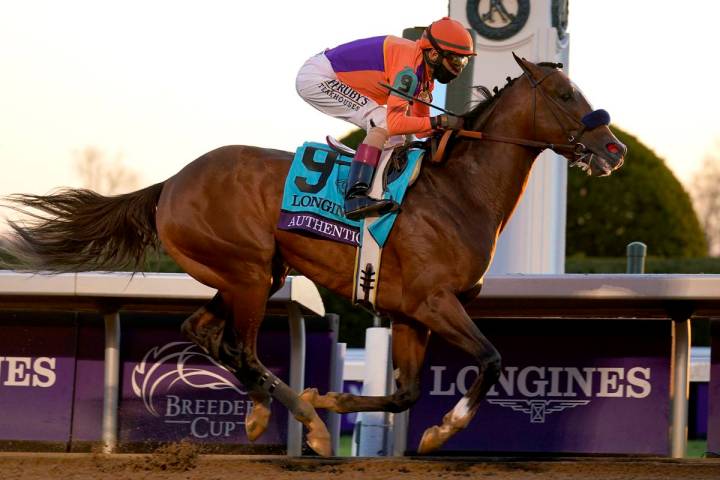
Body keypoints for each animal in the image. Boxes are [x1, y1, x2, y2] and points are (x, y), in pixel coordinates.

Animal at [2, 56, 624, 454]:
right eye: (565, 95)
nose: (614, 149)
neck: (460, 189)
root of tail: (171, 183)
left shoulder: (410, 313)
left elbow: (405, 393)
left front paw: (338, 399)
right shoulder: (434, 301)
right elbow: (490, 360)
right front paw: (442, 429)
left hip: (249, 272)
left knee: (204, 330)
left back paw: (270, 409)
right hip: (249, 272)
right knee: (243, 348)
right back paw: (303, 421)